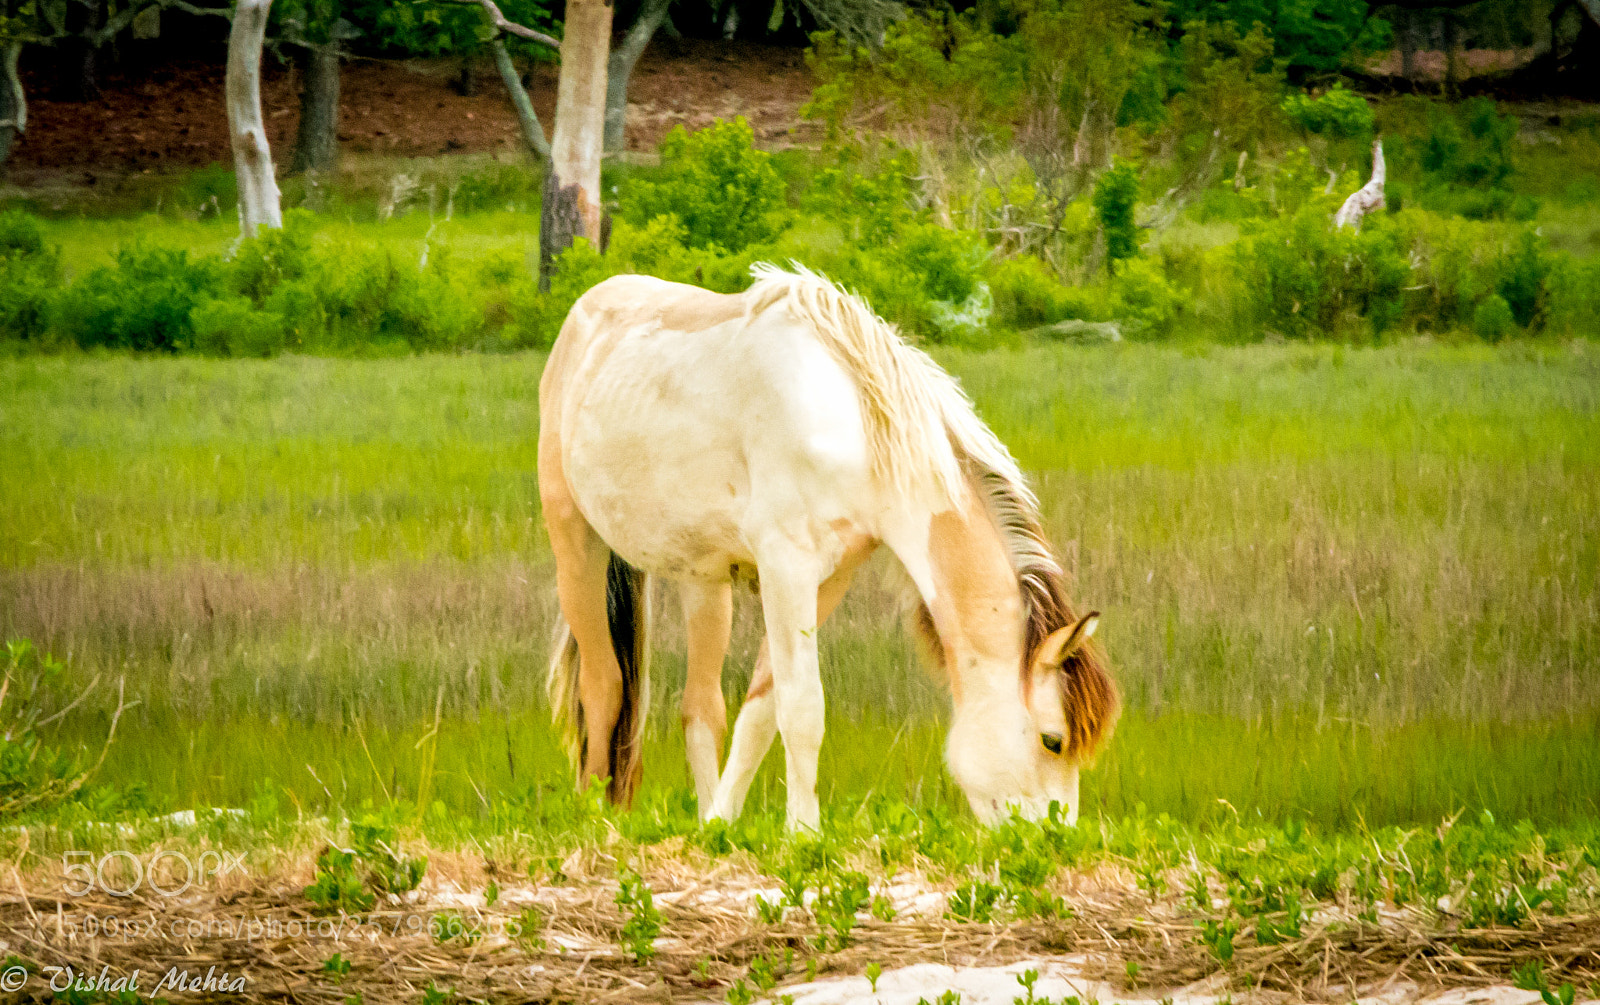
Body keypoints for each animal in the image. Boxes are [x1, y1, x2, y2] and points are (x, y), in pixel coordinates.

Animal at [538, 264, 1118, 830]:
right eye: (1053, 740)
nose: (1055, 842)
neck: (856, 428)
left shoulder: (827, 580)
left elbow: (761, 709)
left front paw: (724, 826)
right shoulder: (785, 570)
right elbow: (802, 709)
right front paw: (804, 834)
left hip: (703, 581)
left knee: (700, 707)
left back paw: (702, 814)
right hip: (576, 549)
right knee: (604, 685)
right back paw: (593, 817)